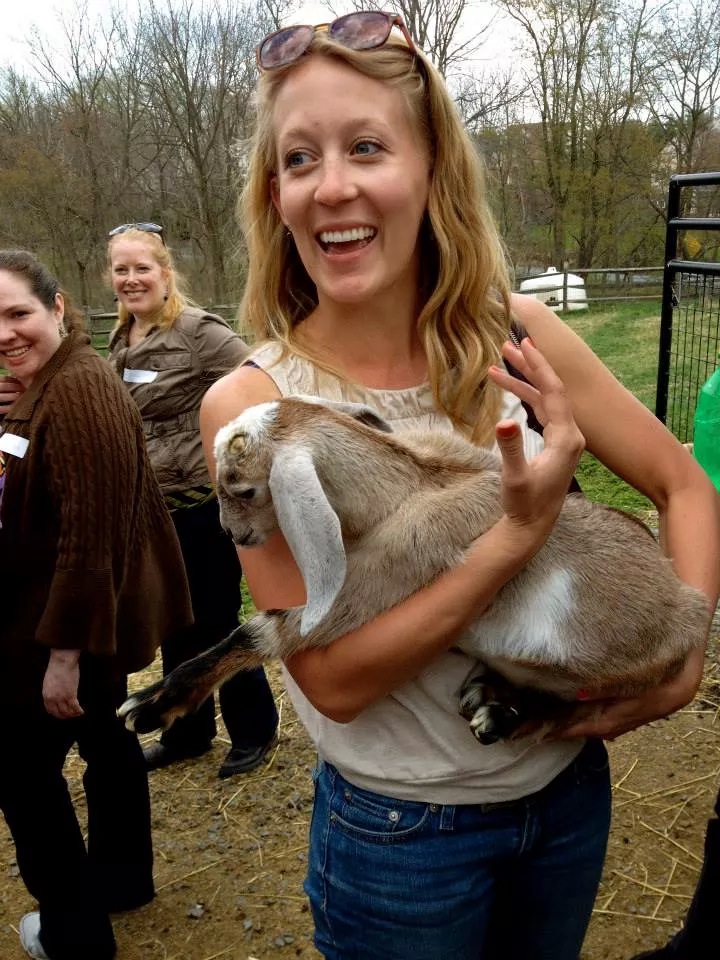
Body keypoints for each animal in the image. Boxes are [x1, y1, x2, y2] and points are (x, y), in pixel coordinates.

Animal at [119, 396, 711, 744]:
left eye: (242, 489)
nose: (233, 535)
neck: (406, 487)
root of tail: (691, 605)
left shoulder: (394, 566)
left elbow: (265, 630)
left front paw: (154, 703)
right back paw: (491, 700)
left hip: (621, 674)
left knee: (576, 710)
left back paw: (500, 715)